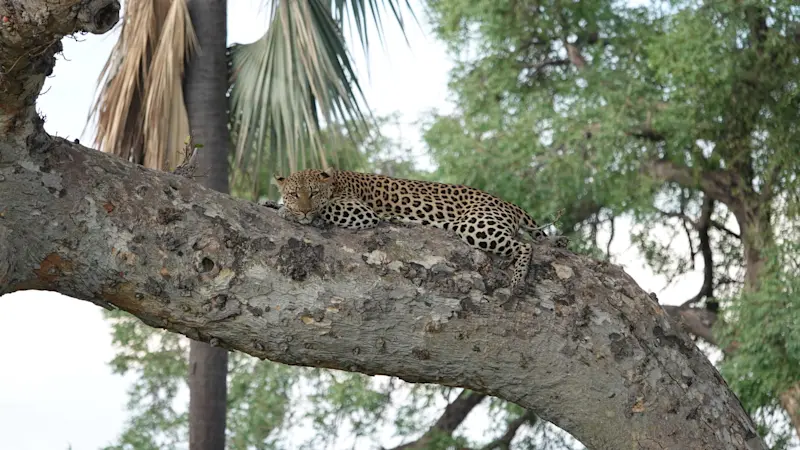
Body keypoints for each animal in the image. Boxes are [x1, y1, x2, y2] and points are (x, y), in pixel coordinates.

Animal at [273, 168, 548, 288]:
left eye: (313, 193)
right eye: (295, 194)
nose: (304, 210)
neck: (333, 182)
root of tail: (508, 203)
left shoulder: (359, 211)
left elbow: (326, 209)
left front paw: (289, 212)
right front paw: (279, 205)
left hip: (475, 225)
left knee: (524, 246)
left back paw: (518, 277)